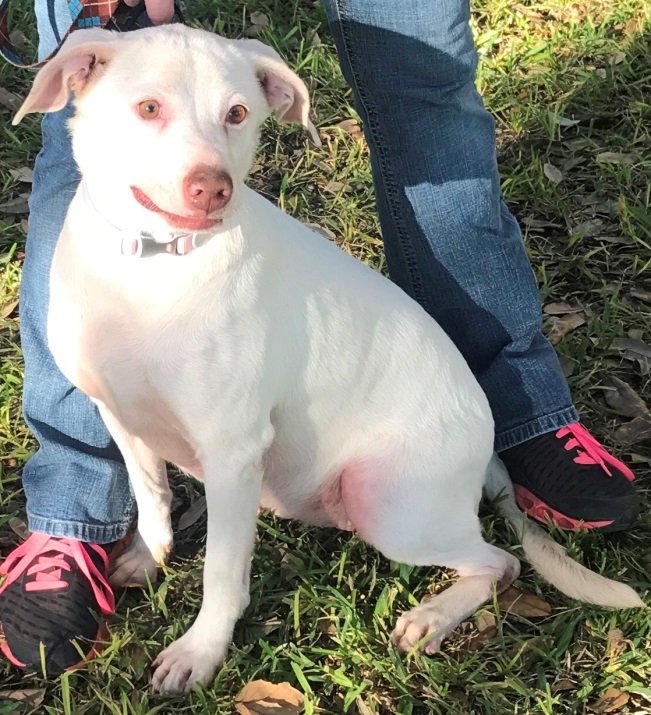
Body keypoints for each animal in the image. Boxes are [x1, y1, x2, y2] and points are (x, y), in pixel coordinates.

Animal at [14, 26, 640, 692]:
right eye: (149, 107)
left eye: (237, 114)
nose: (212, 188)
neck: (153, 269)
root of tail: (487, 445)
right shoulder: (120, 414)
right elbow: (151, 493)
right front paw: (149, 557)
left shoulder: (233, 453)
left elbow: (222, 572)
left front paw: (201, 652)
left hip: (387, 506)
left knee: (500, 563)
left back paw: (431, 620)